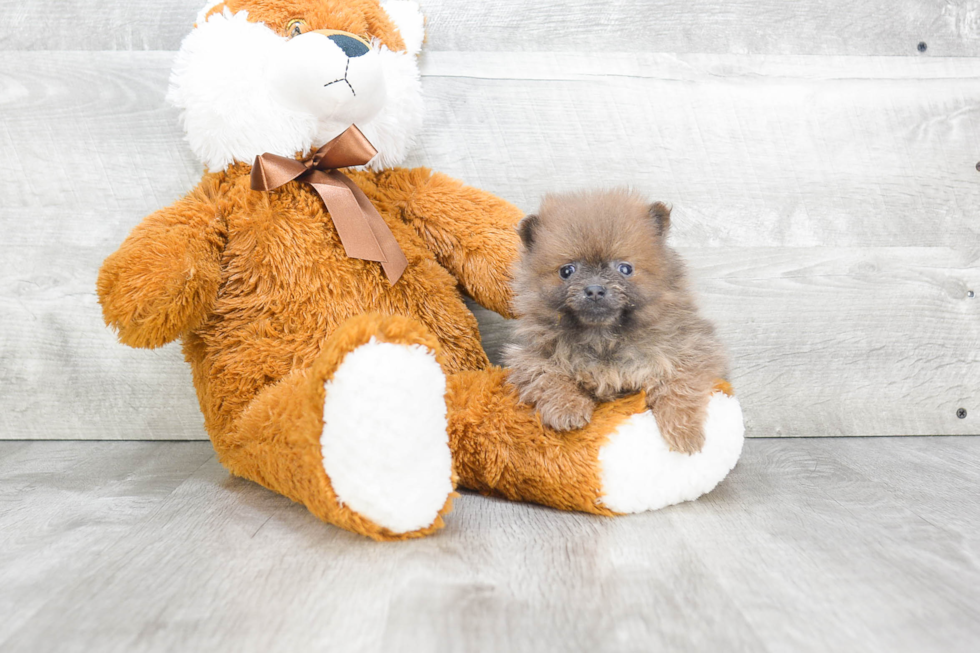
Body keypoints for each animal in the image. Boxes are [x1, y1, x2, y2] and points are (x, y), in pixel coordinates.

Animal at [506, 188, 728, 454]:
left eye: (625, 269)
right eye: (567, 271)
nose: (594, 289)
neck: (604, 338)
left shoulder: (692, 349)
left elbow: (680, 387)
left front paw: (685, 433)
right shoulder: (531, 356)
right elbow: (549, 377)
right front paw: (568, 410)